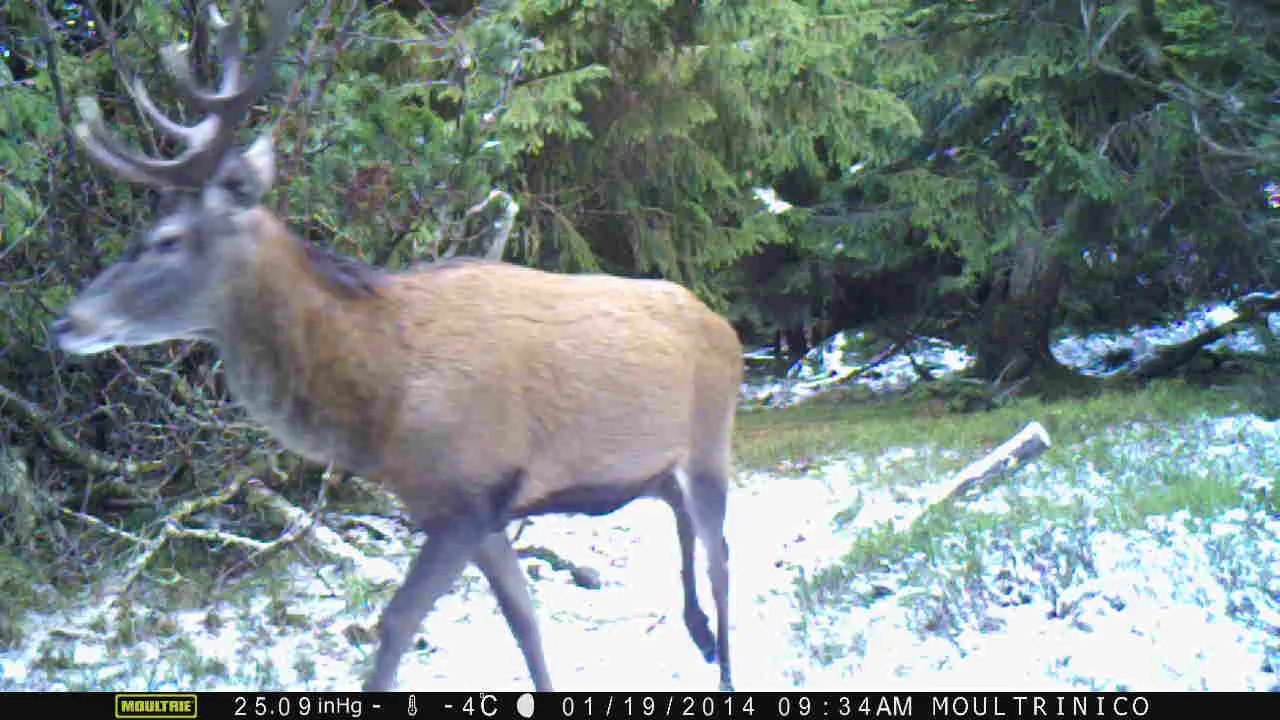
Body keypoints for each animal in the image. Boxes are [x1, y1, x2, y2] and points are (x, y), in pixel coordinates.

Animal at [52, 0, 742, 692]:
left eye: (166, 239)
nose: (64, 322)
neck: (383, 400)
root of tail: (726, 327)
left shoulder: (470, 496)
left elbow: (398, 624)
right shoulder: (468, 509)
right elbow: (524, 621)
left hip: (712, 437)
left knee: (721, 553)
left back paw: (724, 662)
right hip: (643, 465)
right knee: (676, 508)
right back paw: (697, 632)